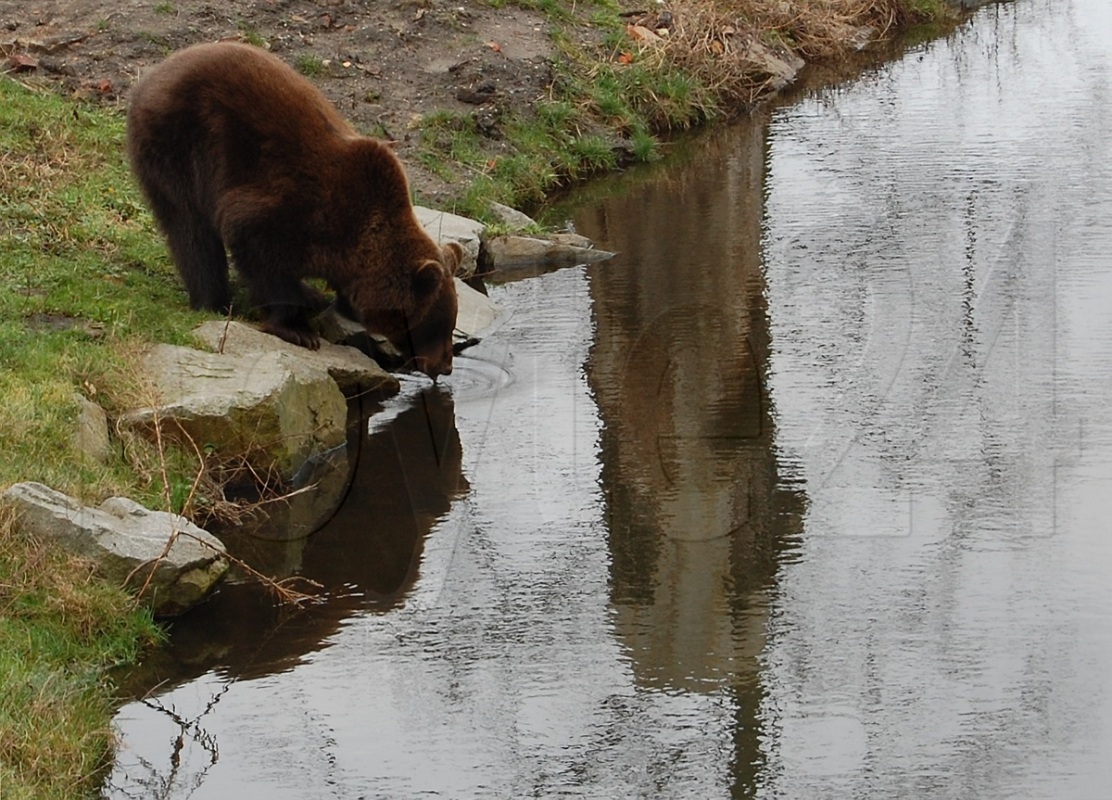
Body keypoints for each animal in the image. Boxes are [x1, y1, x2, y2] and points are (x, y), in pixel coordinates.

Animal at [127, 42, 460, 380]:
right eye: (437, 325)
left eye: (450, 323)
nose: (445, 366)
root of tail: (151, 76)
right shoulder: (292, 210)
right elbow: (262, 256)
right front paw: (297, 329)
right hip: (180, 144)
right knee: (191, 230)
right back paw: (213, 300)